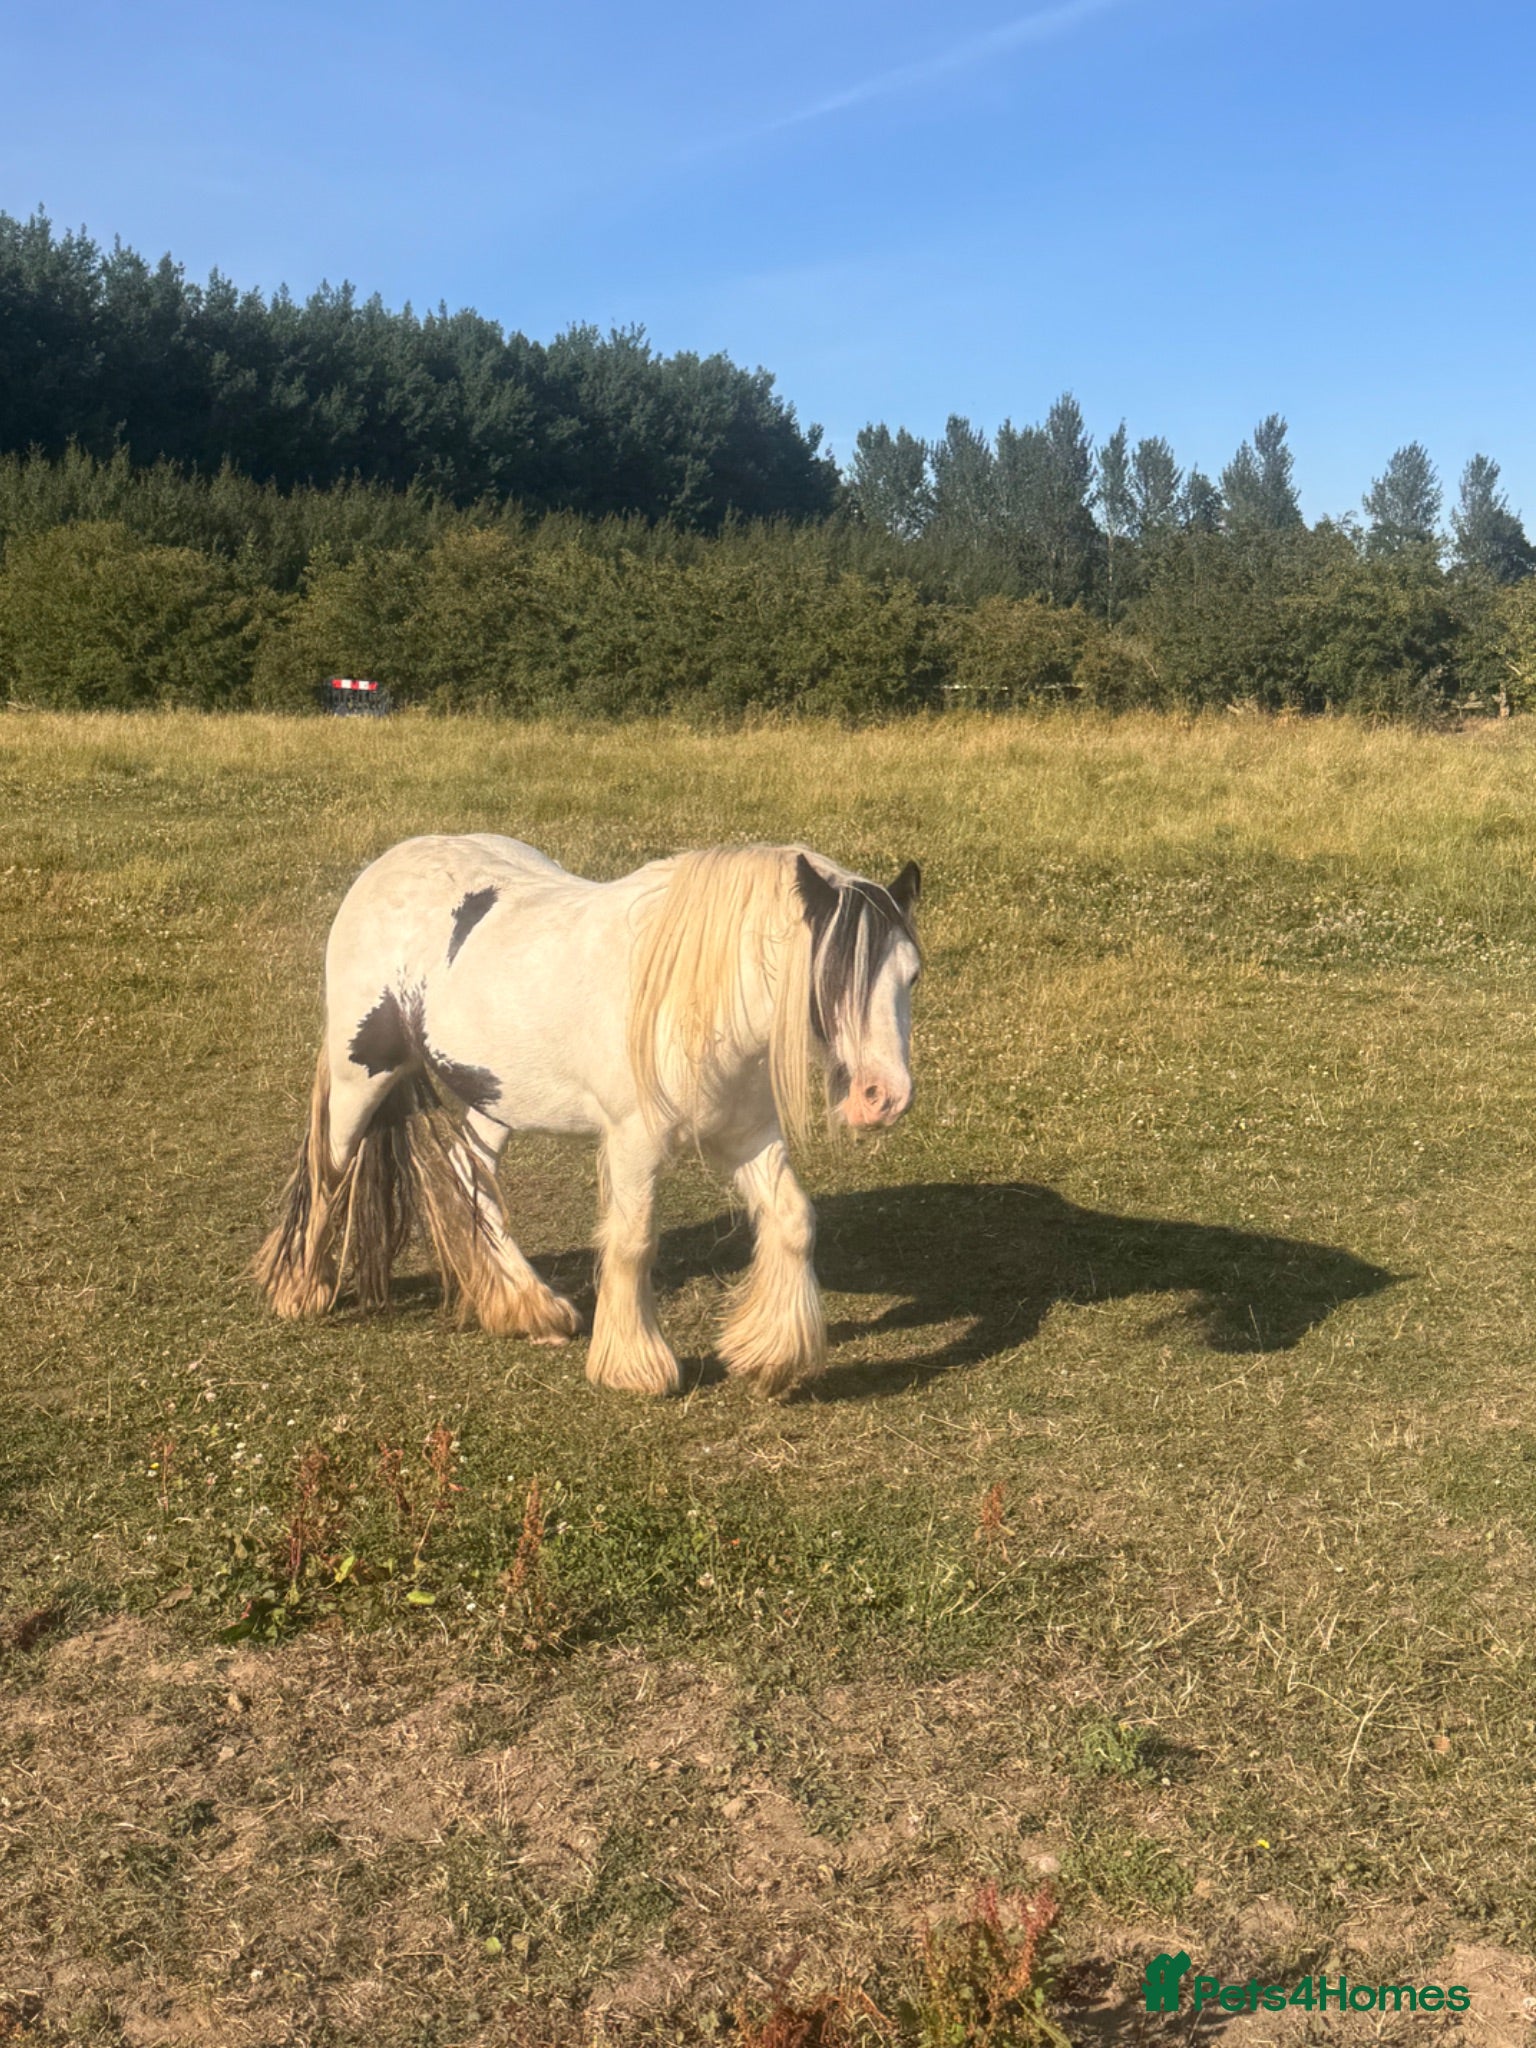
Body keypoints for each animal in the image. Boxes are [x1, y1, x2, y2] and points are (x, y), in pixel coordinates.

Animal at [255, 837, 921, 1396]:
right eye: (830, 975)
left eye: (911, 975)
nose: (883, 1097)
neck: (692, 998)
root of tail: (384, 867)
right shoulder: (634, 1142)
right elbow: (632, 1241)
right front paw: (634, 1368)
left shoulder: (747, 1137)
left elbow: (793, 1221)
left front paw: (770, 1357)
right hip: (360, 1078)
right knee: (330, 1171)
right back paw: (303, 1290)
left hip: (494, 1097)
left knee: (470, 1173)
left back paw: (525, 1306)